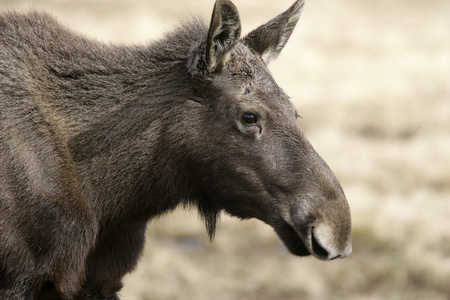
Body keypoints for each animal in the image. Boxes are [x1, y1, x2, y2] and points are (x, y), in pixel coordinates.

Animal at [0, 0, 352, 298]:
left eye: (295, 112)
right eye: (249, 116)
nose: (338, 229)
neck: (113, 201)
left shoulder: (102, 280)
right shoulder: (21, 279)